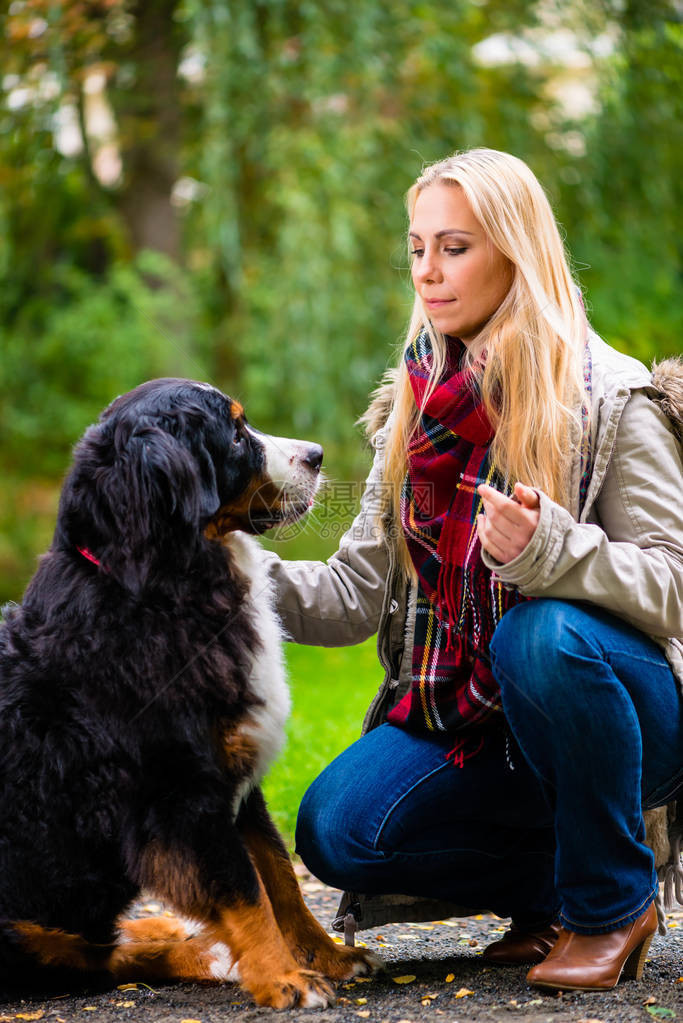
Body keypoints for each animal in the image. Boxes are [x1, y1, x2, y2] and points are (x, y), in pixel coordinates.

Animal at [0, 380, 378, 1010]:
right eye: (236, 435)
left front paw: (327, 955)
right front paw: (285, 978)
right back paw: (204, 951)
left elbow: (280, 879)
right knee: (98, 960)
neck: (163, 587)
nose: (317, 455)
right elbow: (246, 892)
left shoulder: (237, 775)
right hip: (20, 933)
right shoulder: (180, 796)